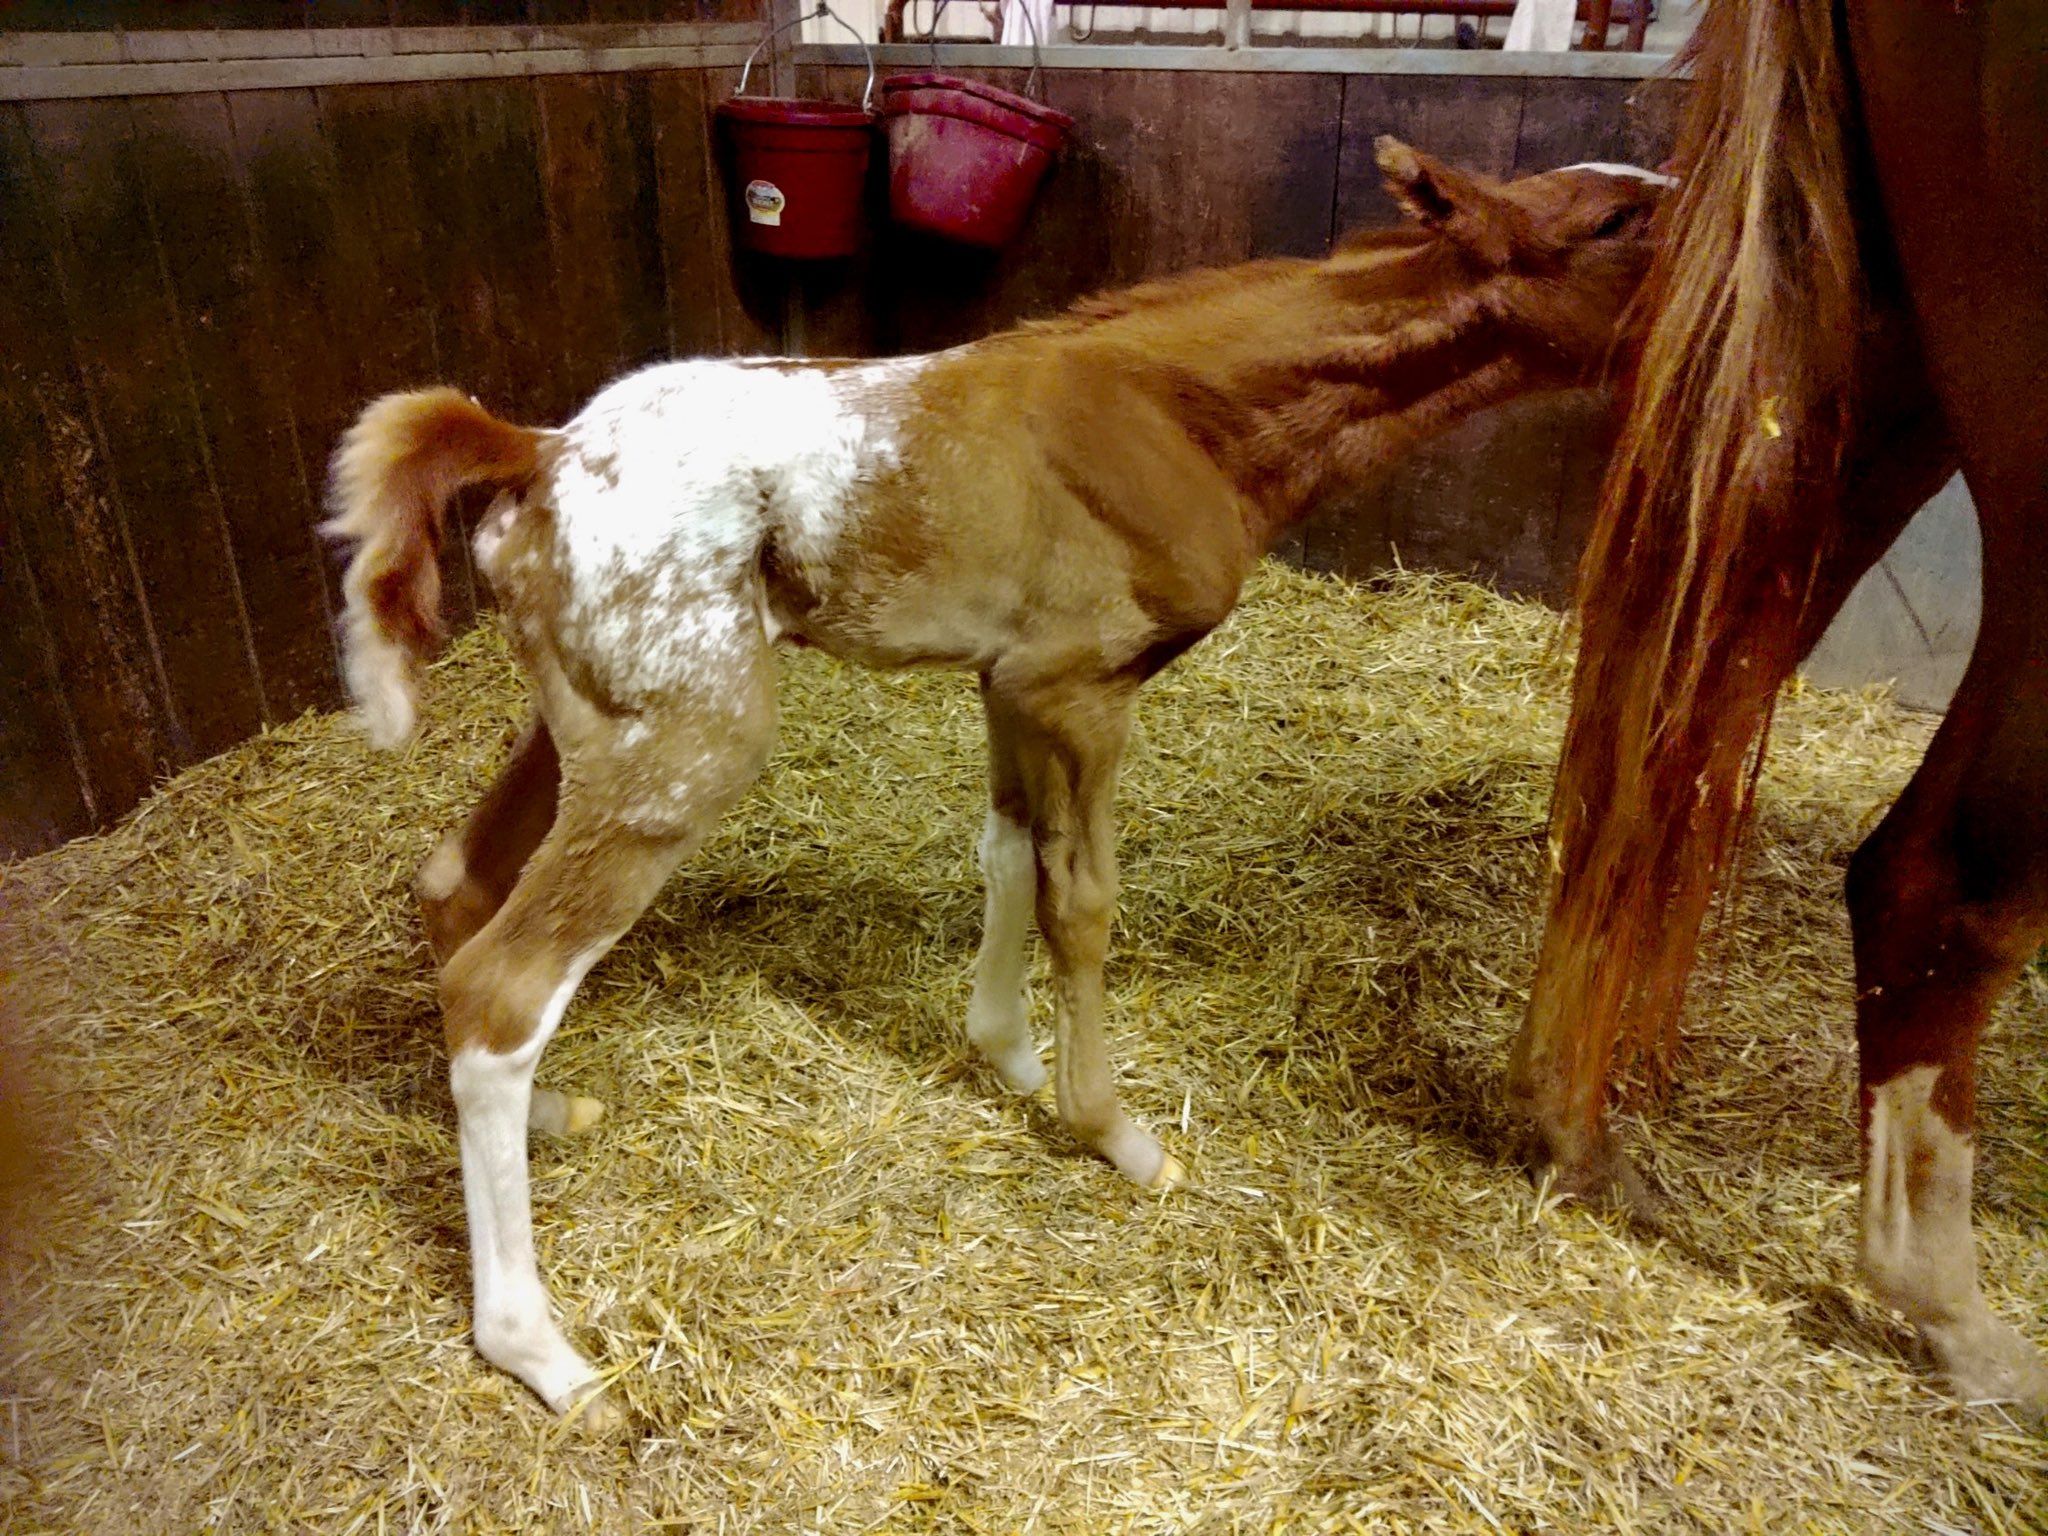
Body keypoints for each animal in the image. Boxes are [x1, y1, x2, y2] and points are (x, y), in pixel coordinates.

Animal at [327, 138, 1666, 1428]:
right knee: (501, 988)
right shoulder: (1079, 684)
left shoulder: (1007, 681)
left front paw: (1008, 1059)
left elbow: (1008, 852)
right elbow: (1082, 899)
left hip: (586, 729)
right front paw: (1113, 1133)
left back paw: (550, 1118)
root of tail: (539, 453)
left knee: (455, 892)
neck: (1176, 417)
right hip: (686, 745)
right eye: (1611, 223)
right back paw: (542, 1354)